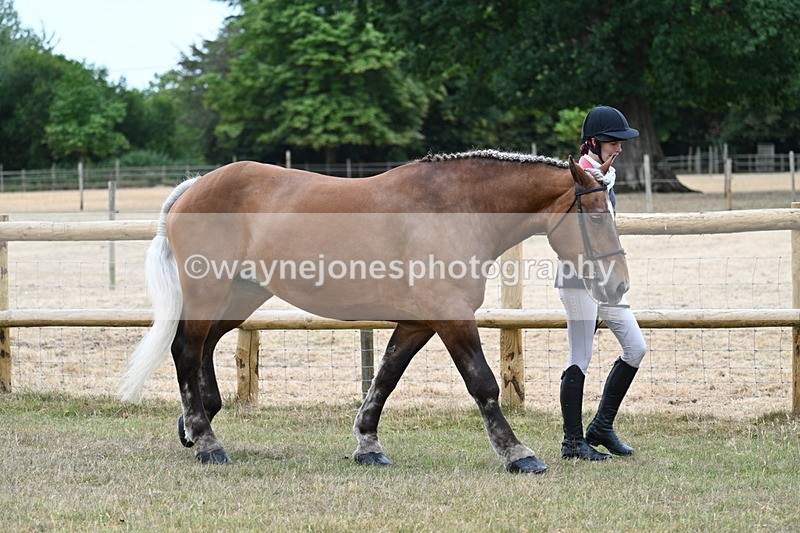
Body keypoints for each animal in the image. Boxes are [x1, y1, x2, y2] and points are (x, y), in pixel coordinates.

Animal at [119, 149, 628, 474]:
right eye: (596, 215)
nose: (618, 284)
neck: (456, 208)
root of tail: (195, 186)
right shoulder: (451, 316)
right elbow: (483, 385)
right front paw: (518, 453)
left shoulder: (419, 321)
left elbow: (385, 377)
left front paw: (368, 445)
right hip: (210, 292)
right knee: (186, 350)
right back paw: (208, 443)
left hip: (241, 296)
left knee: (203, 347)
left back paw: (194, 424)